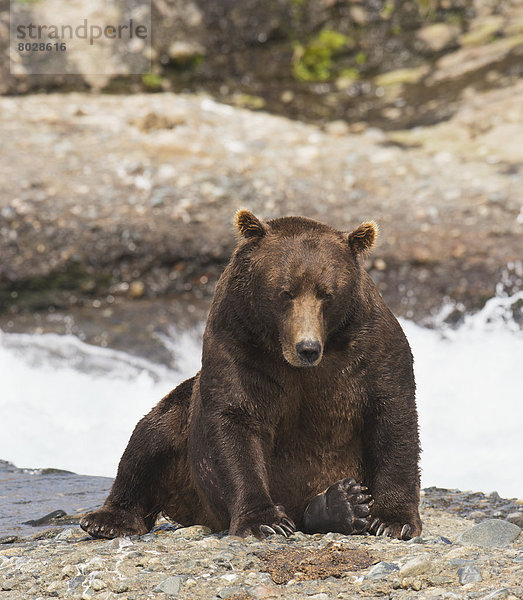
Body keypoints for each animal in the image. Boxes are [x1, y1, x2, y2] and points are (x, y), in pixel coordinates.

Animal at [81, 210, 422, 540]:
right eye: (285, 292)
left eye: (327, 293)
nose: (307, 348)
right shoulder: (238, 344)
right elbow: (236, 421)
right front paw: (264, 521)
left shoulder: (370, 349)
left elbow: (393, 417)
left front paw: (393, 520)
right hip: (186, 443)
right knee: (150, 438)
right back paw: (107, 520)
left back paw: (342, 503)